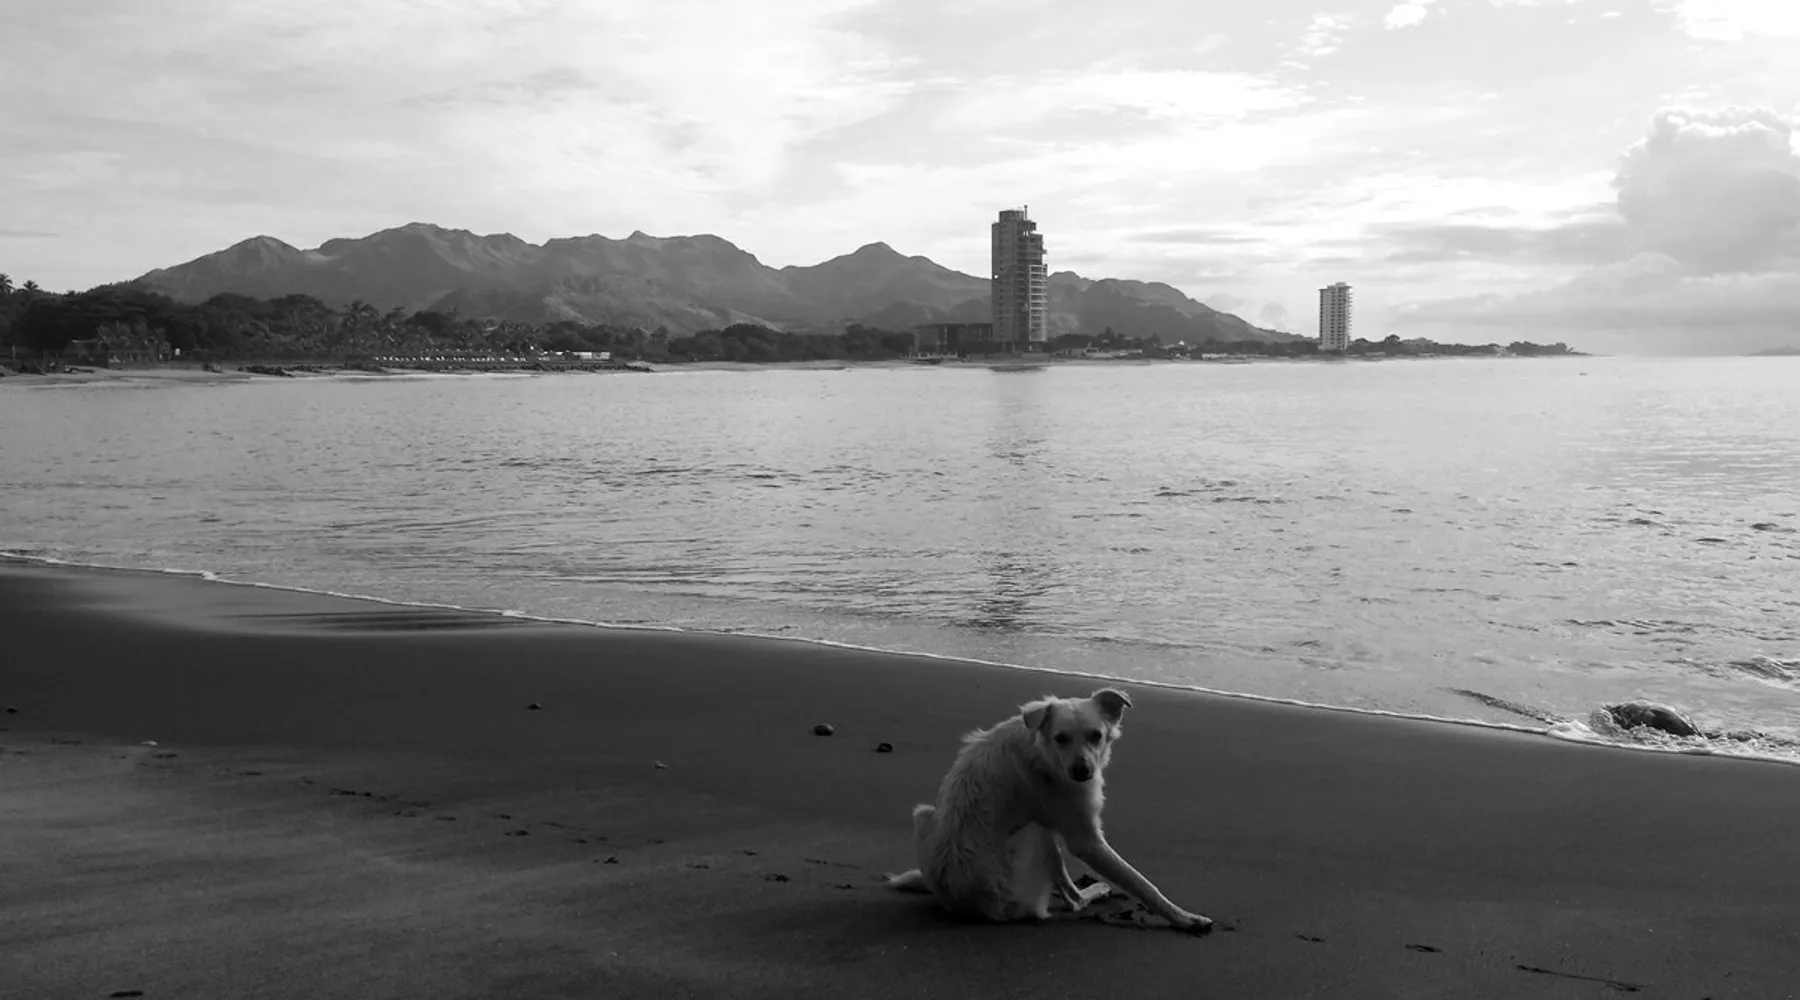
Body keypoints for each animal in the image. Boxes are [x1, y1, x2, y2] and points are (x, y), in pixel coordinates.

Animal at [887, 687, 1211, 933]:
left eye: (1096, 735)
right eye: (1061, 738)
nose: (1082, 772)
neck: (1041, 748)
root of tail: (965, 904)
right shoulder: (1086, 840)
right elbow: (1141, 883)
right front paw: (1184, 918)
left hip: (924, 814)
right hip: (1033, 837)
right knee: (1073, 896)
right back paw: (1092, 893)